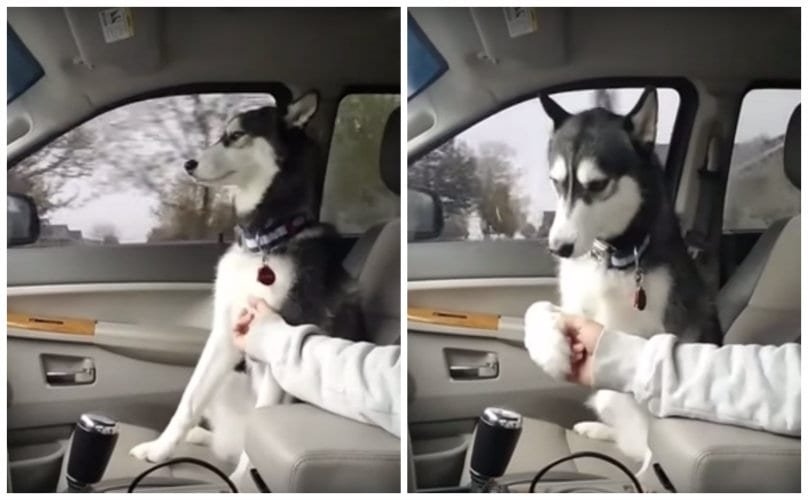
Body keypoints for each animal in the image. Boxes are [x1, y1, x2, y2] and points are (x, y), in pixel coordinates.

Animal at [130, 92, 366, 478]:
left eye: (236, 135)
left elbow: (262, 426)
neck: (264, 243)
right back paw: (198, 437)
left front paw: (240, 481)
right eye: (219, 134)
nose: (188, 164)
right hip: (228, 383)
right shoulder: (225, 333)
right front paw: (159, 449)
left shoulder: (279, 342)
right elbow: (189, 400)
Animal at [528, 89, 724, 468]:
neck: (612, 258)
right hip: (608, 399)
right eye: (556, 183)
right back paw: (600, 430)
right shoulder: (575, 305)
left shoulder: (656, 331)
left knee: (645, 447)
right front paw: (550, 349)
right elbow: (537, 307)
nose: (558, 247)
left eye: (597, 184)